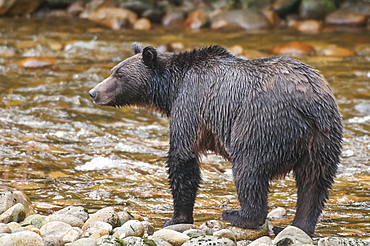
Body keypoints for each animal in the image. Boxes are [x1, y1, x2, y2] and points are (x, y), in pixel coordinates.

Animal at [89, 42, 342, 236]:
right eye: (113, 70)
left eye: (118, 74)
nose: (94, 92)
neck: (171, 89)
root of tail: (309, 102)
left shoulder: (191, 104)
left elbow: (182, 158)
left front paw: (176, 218)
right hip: (323, 139)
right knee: (314, 183)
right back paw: (298, 226)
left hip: (262, 124)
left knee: (248, 170)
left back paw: (237, 215)